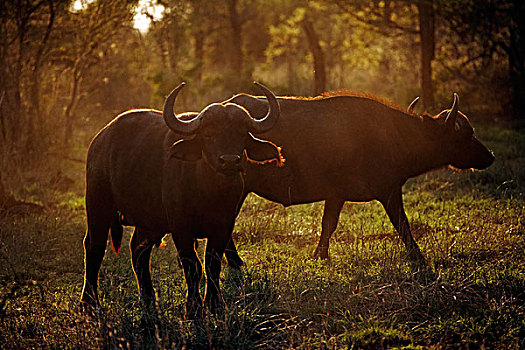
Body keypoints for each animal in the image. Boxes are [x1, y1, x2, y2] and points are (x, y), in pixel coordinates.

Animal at [80, 82, 282, 320]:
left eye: (241, 134)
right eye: (209, 135)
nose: (230, 161)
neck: (209, 192)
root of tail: (99, 141)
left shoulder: (224, 226)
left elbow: (213, 263)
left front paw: (215, 304)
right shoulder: (180, 226)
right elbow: (192, 265)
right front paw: (193, 308)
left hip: (150, 222)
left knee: (138, 251)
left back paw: (149, 301)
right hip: (98, 205)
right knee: (94, 246)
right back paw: (89, 303)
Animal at [223, 91, 494, 266]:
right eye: (467, 134)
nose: (490, 155)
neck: (397, 136)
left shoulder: (336, 195)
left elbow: (328, 224)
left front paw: (320, 255)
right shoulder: (389, 191)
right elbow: (402, 223)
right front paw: (417, 255)